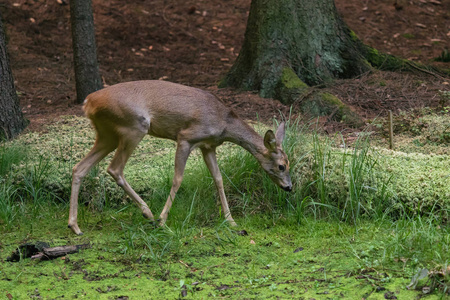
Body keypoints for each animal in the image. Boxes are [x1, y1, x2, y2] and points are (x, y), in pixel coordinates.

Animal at [67, 81, 292, 236]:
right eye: (282, 166)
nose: (289, 187)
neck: (224, 123)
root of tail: (88, 102)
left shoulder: (208, 147)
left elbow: (218, 179)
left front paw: (231, 221)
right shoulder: (186, 137)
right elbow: (177, 179)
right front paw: (163, 220)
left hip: (107, 134)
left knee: (79, 167)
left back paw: (75, 226)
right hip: (133, 126)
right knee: (114, 169)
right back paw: (148, 213)